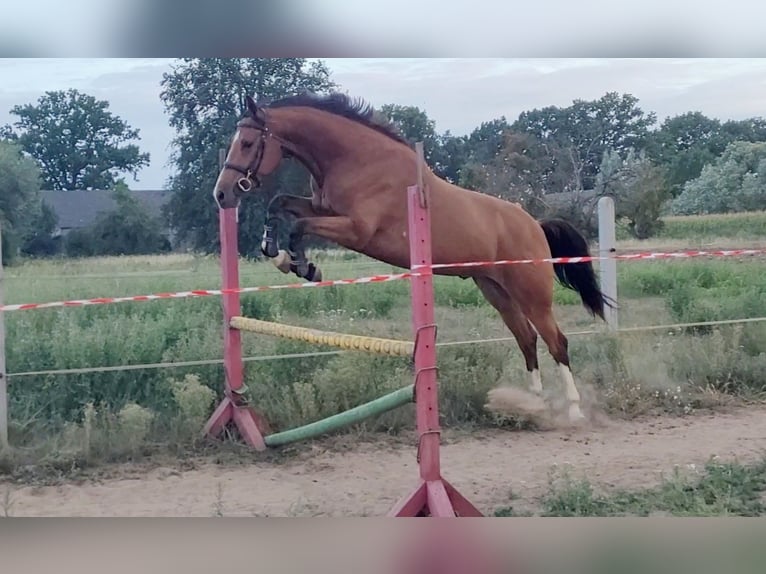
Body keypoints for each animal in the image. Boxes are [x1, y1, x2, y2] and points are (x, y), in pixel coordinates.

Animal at [213, 90, 616, 424]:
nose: (222, 194)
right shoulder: (321, 208)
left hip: (531, 292)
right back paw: (534, 405)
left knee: (555, 342)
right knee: (526, 339)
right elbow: (279, 203)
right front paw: (273, 250)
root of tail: (534, 224)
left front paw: (301, 265)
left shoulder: (356, 229)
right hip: (494, 289)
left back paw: (573, 411)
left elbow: (299, 226)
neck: (355, 159)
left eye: (247, 143)